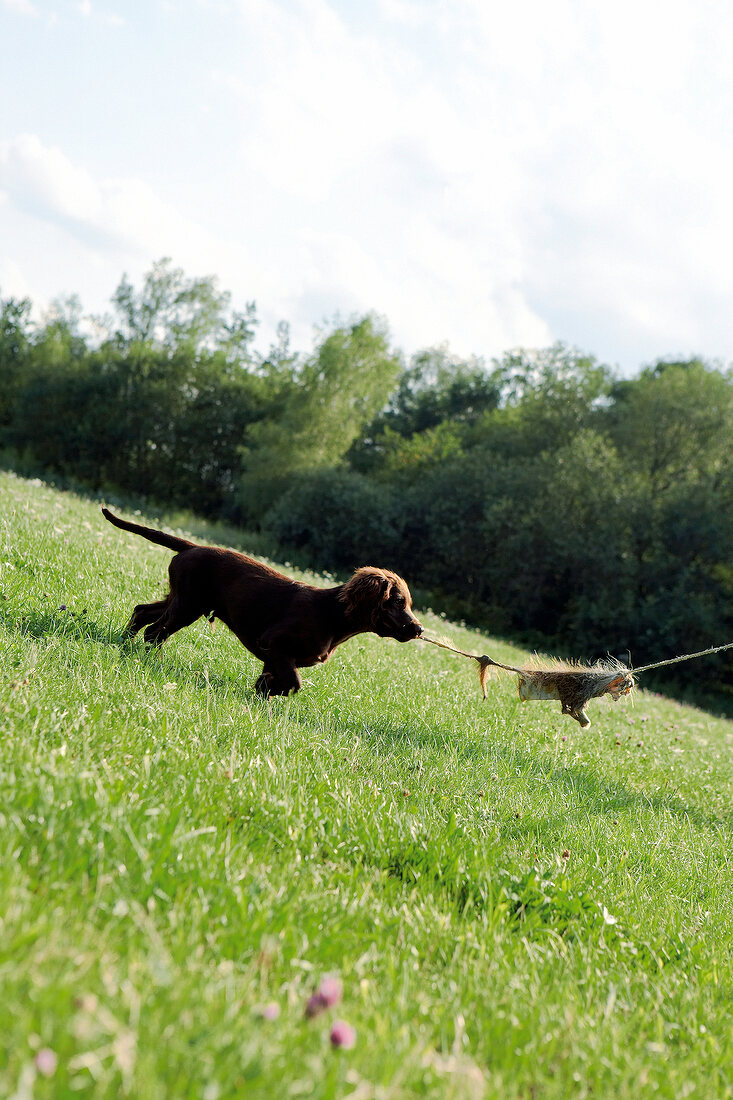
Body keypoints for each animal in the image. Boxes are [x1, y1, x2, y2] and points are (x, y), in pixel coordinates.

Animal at [102, 508, 422, 695]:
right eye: (397, 602)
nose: (419, 629)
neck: (331, 614)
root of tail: (191, 547)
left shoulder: (274, 655)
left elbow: (276, 680)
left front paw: (261, 691)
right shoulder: (275, 644)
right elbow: (294, 683)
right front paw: (266, 691)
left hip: (180, 598)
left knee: (142, 613)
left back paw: (124, 643)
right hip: (188, 605)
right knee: (155, 631)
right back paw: (149, 660)